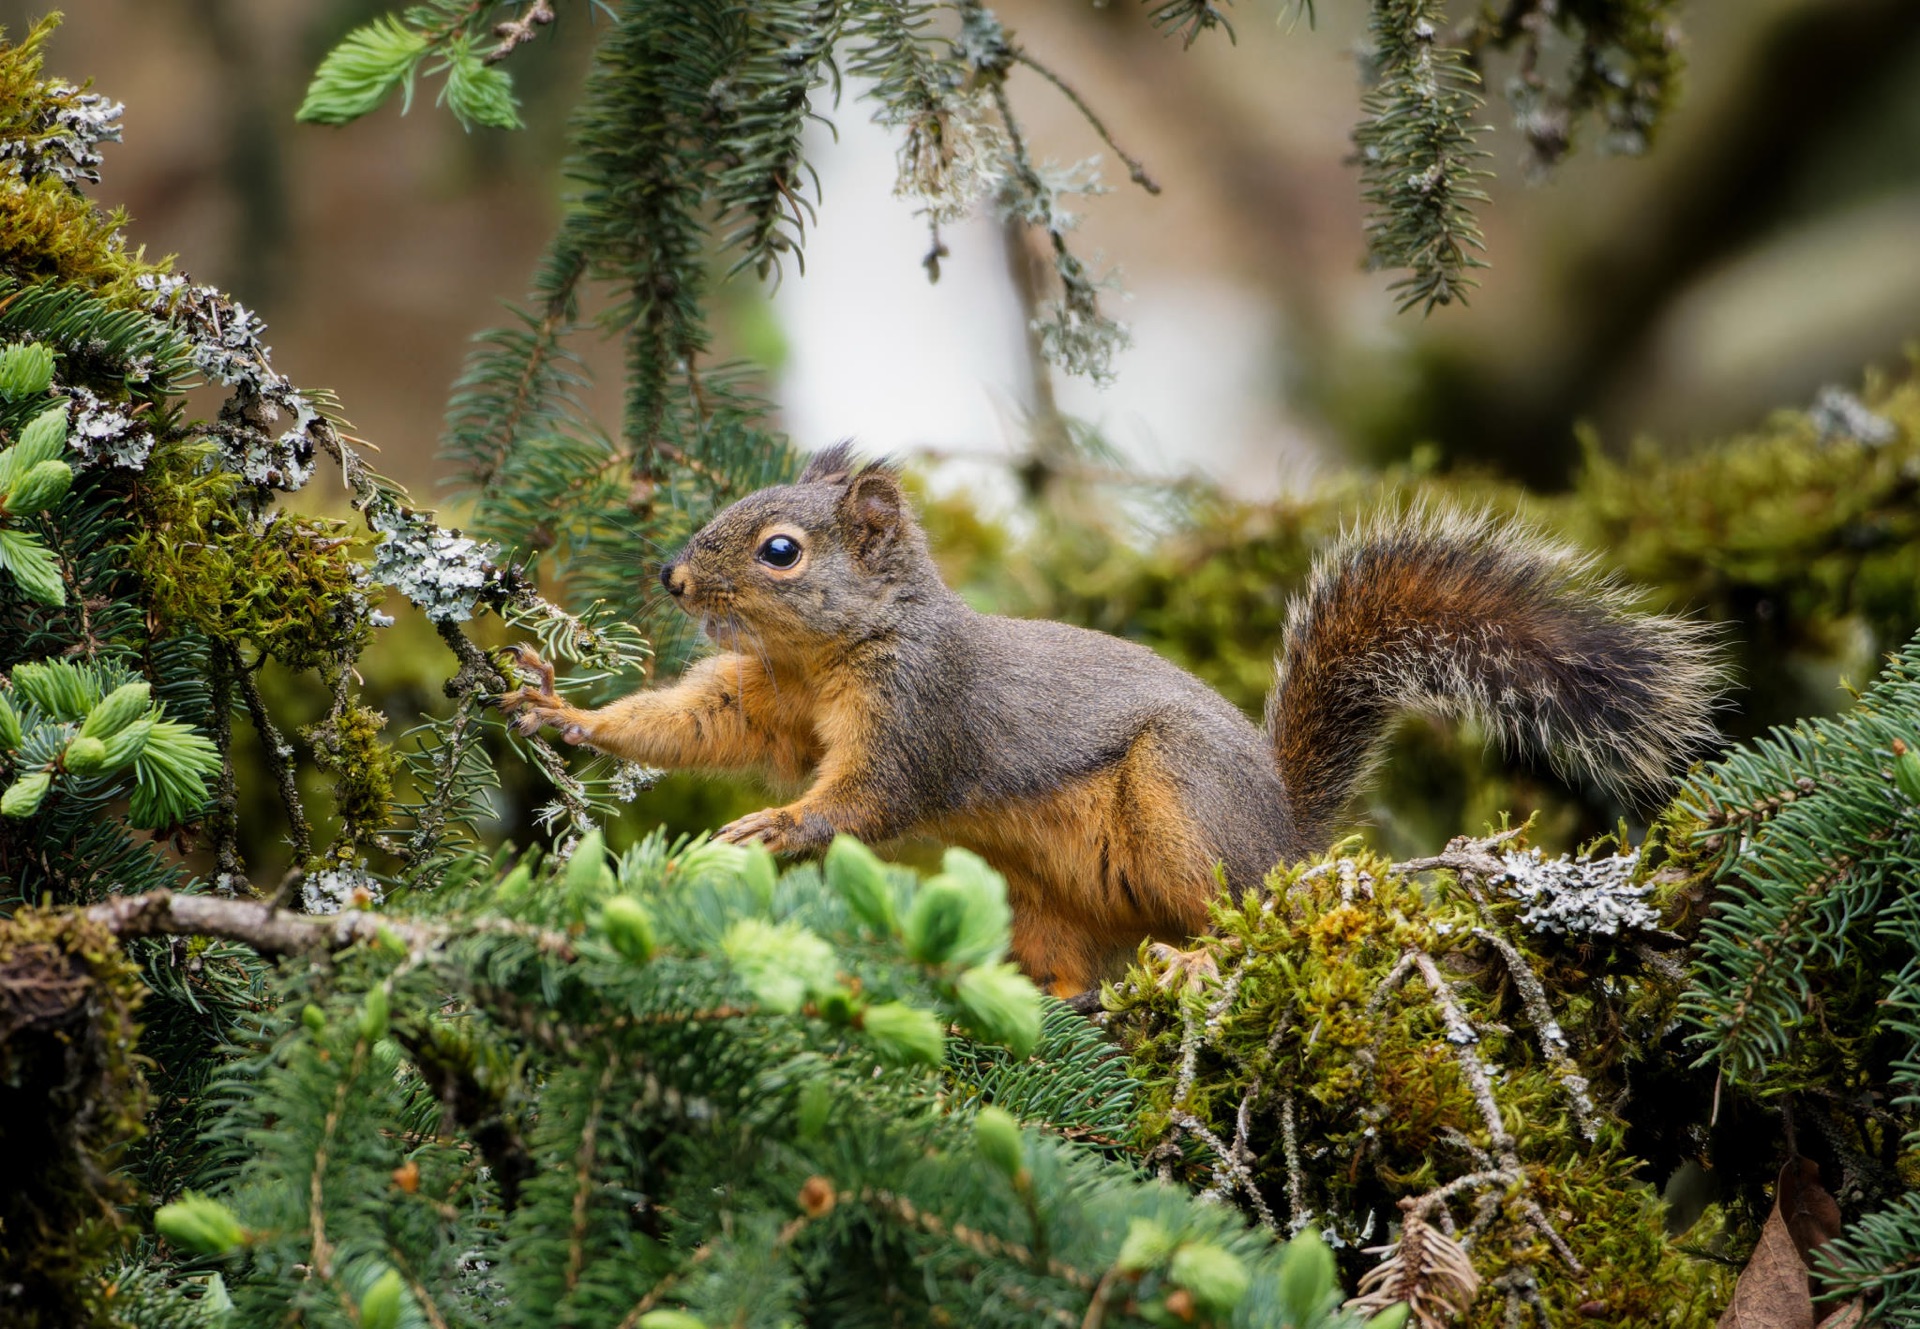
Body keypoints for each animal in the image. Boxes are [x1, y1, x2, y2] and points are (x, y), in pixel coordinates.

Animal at [499, 444, 1724, 998]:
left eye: (781, 550)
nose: (669, 577)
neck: (827, 657)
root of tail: (1288, 837)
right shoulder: (764, 703)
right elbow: (683, 724)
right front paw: (559, 710)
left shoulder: (917, 713)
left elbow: (870, 797)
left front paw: (778, 830)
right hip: (1045, 899)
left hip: (1180, 804)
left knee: (1240, 919)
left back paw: (1193, 963)